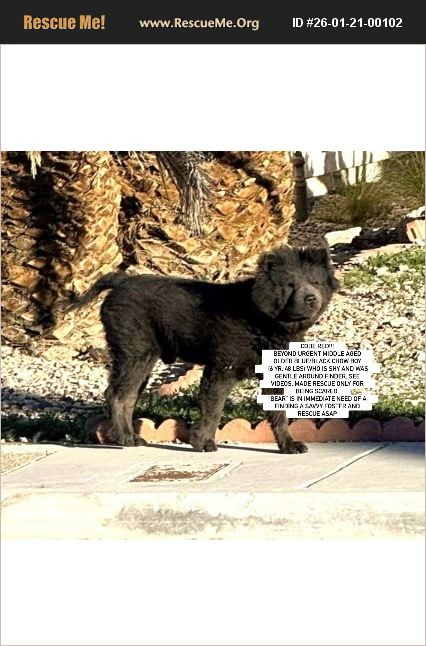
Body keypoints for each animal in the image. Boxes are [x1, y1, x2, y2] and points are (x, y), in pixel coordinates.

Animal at [69, 246, 339, 452]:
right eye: (290, 285)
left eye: (315, 282)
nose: (311, 298)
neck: (261, 318)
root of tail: (121, 281)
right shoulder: (221, 367)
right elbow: (214, 408)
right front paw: (203, 442)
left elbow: (279, 414)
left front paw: (288, 445)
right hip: (133, 351)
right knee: (117, 395)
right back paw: (124, 439)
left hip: (143, 358)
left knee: (128, 397)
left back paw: (133, 437)